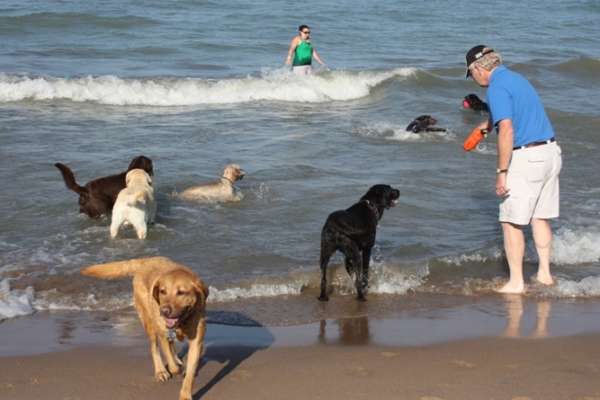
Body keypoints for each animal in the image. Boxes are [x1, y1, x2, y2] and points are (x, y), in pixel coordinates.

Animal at [81, 256, 209, 400]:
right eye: (163, 291)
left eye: (181, 292)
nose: (164, 311)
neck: (182, 321)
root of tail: (145, 260)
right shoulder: (163, 334)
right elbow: (173, 366)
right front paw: (175, 369)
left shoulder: (196, 342)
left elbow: (190, 373)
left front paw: (185, 394)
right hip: (149, 322)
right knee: (154, 347)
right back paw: (160, 371)